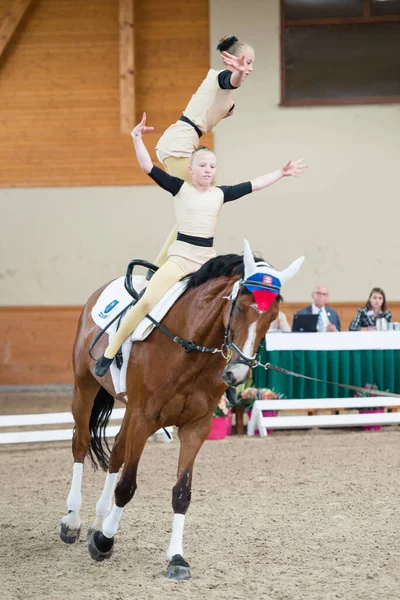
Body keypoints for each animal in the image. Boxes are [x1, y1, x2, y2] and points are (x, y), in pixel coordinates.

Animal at [59, 241, 304, 580]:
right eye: (240, 308)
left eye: (273, 317)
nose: (237, 375)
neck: (191, 349)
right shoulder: (144, 417)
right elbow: (127, 486)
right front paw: (104, 542)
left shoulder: (195, 426)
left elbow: (182, 492)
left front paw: (176, 558)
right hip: (85, 388)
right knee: (81, 444)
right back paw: (73, 522)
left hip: (129, 410)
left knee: (117, 453)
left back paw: (97, 522)